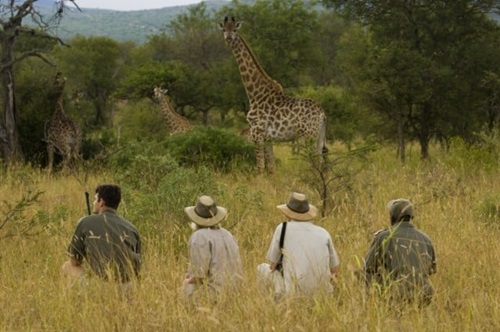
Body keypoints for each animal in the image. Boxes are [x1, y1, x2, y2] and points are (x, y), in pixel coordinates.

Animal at [219, 16, 328, 175]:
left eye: (234, 30)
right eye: (223, 29)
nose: (228, 38)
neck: (255, 94)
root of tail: (322, 114)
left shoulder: (257, 133)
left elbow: (260, 168)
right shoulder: (267, 138)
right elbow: (271, 168)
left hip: (307, 136)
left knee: (313, 164)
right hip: (319, 137)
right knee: (320, 162)